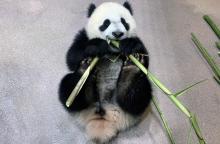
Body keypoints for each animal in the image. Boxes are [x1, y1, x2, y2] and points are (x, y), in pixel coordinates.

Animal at [58, 1, 152, 143]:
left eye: (124, 21)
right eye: (106, 23)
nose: (117, 34)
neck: (112, 50)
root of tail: (104, 118)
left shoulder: (137, 41)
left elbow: (144, 60)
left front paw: (129, 46)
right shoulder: (84, 36)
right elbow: (72, 56)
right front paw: (96, 46)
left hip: (126, 107)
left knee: (139, 94)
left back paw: (130, 72)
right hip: (82, 102)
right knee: (69, 86)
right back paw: (85, 68)